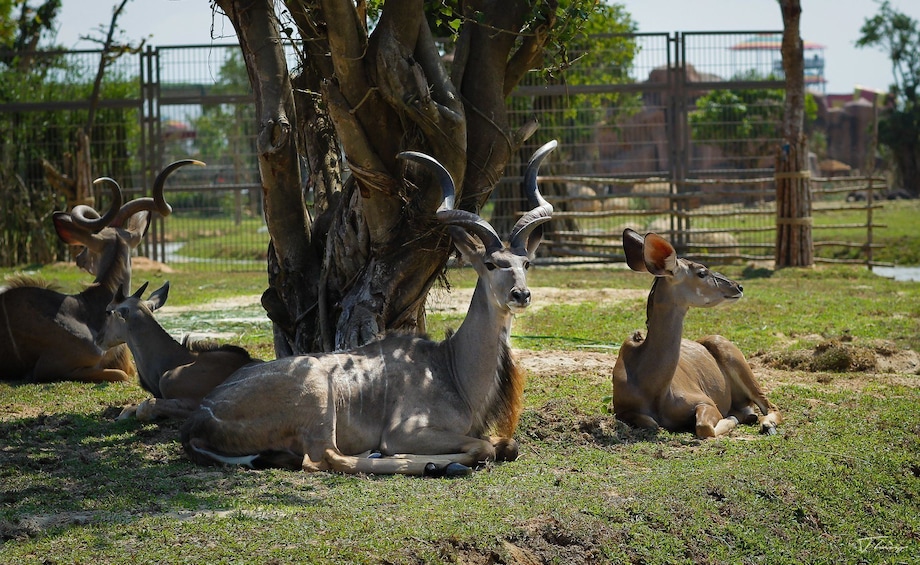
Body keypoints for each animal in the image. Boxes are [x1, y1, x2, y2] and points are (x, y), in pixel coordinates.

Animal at [179, 141, 552, 476]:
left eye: (526, 263)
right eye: (490, 264)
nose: (521, 294)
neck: (450, 367)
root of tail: (197, 422)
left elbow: (507, 444)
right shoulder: (407, 431)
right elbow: (483, 446)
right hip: (319, 398)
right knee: (325, 459)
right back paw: (426, 463)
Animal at [612, 228, 784, 436]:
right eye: (701, 272)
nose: (738, 286)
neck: (652, 388)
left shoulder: (706, 402)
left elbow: (704, 427)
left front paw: (730, 420)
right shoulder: (622, 409)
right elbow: (652, 422)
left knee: (770, 406)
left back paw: (766, 424)